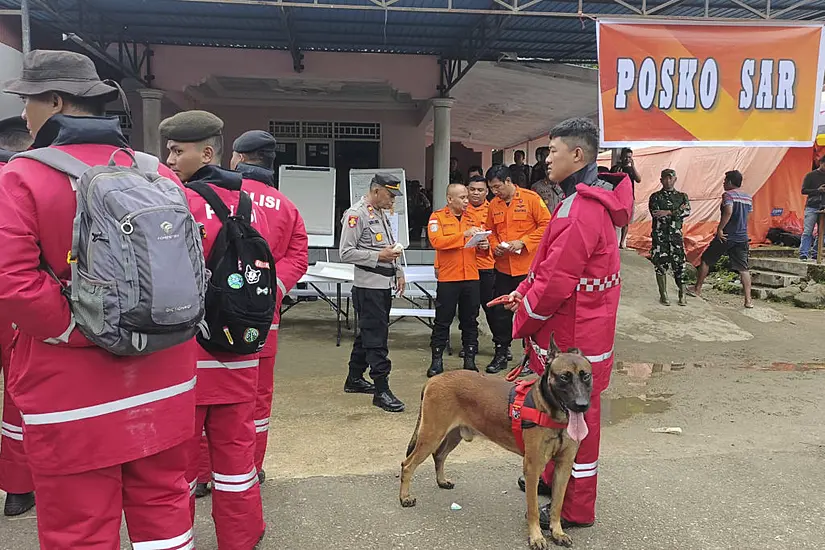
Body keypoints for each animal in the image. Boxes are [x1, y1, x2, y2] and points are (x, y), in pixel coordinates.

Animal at [400, 338, 592, 548]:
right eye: (564, 377)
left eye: (586, 376)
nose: (582, 405)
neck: (550, 411)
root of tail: (434, 380)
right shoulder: (533, 468)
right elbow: (533, 508)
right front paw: (536, 537)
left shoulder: (564, 466)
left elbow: (557, 504)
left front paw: (557, 532)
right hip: (431, 435)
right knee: (407, 464)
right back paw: (404, 497)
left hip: (452, 435)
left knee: (439, 455)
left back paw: (442, 481)